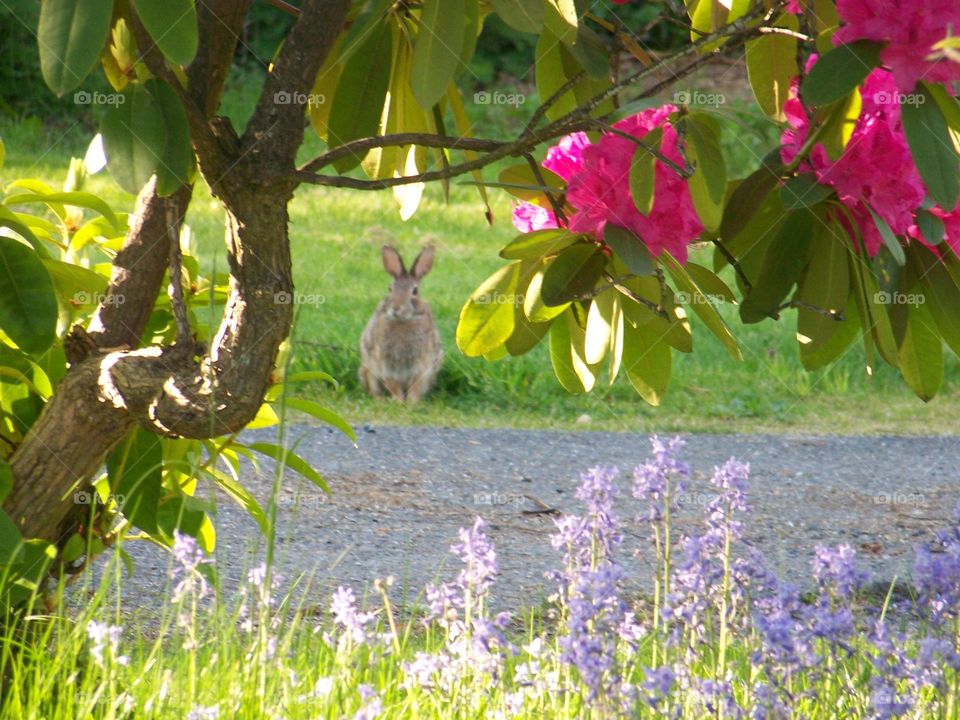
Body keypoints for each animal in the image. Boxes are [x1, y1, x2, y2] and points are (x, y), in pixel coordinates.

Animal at [359, 244, 443, 402]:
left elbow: (416, 384)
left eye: (415, 291)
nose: (396, 308)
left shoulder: (422, 363)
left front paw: (411, 402)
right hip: (368, 369)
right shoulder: (385, 363)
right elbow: (392, 383)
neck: (403, 321)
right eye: (390, 288)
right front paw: (398, 401)